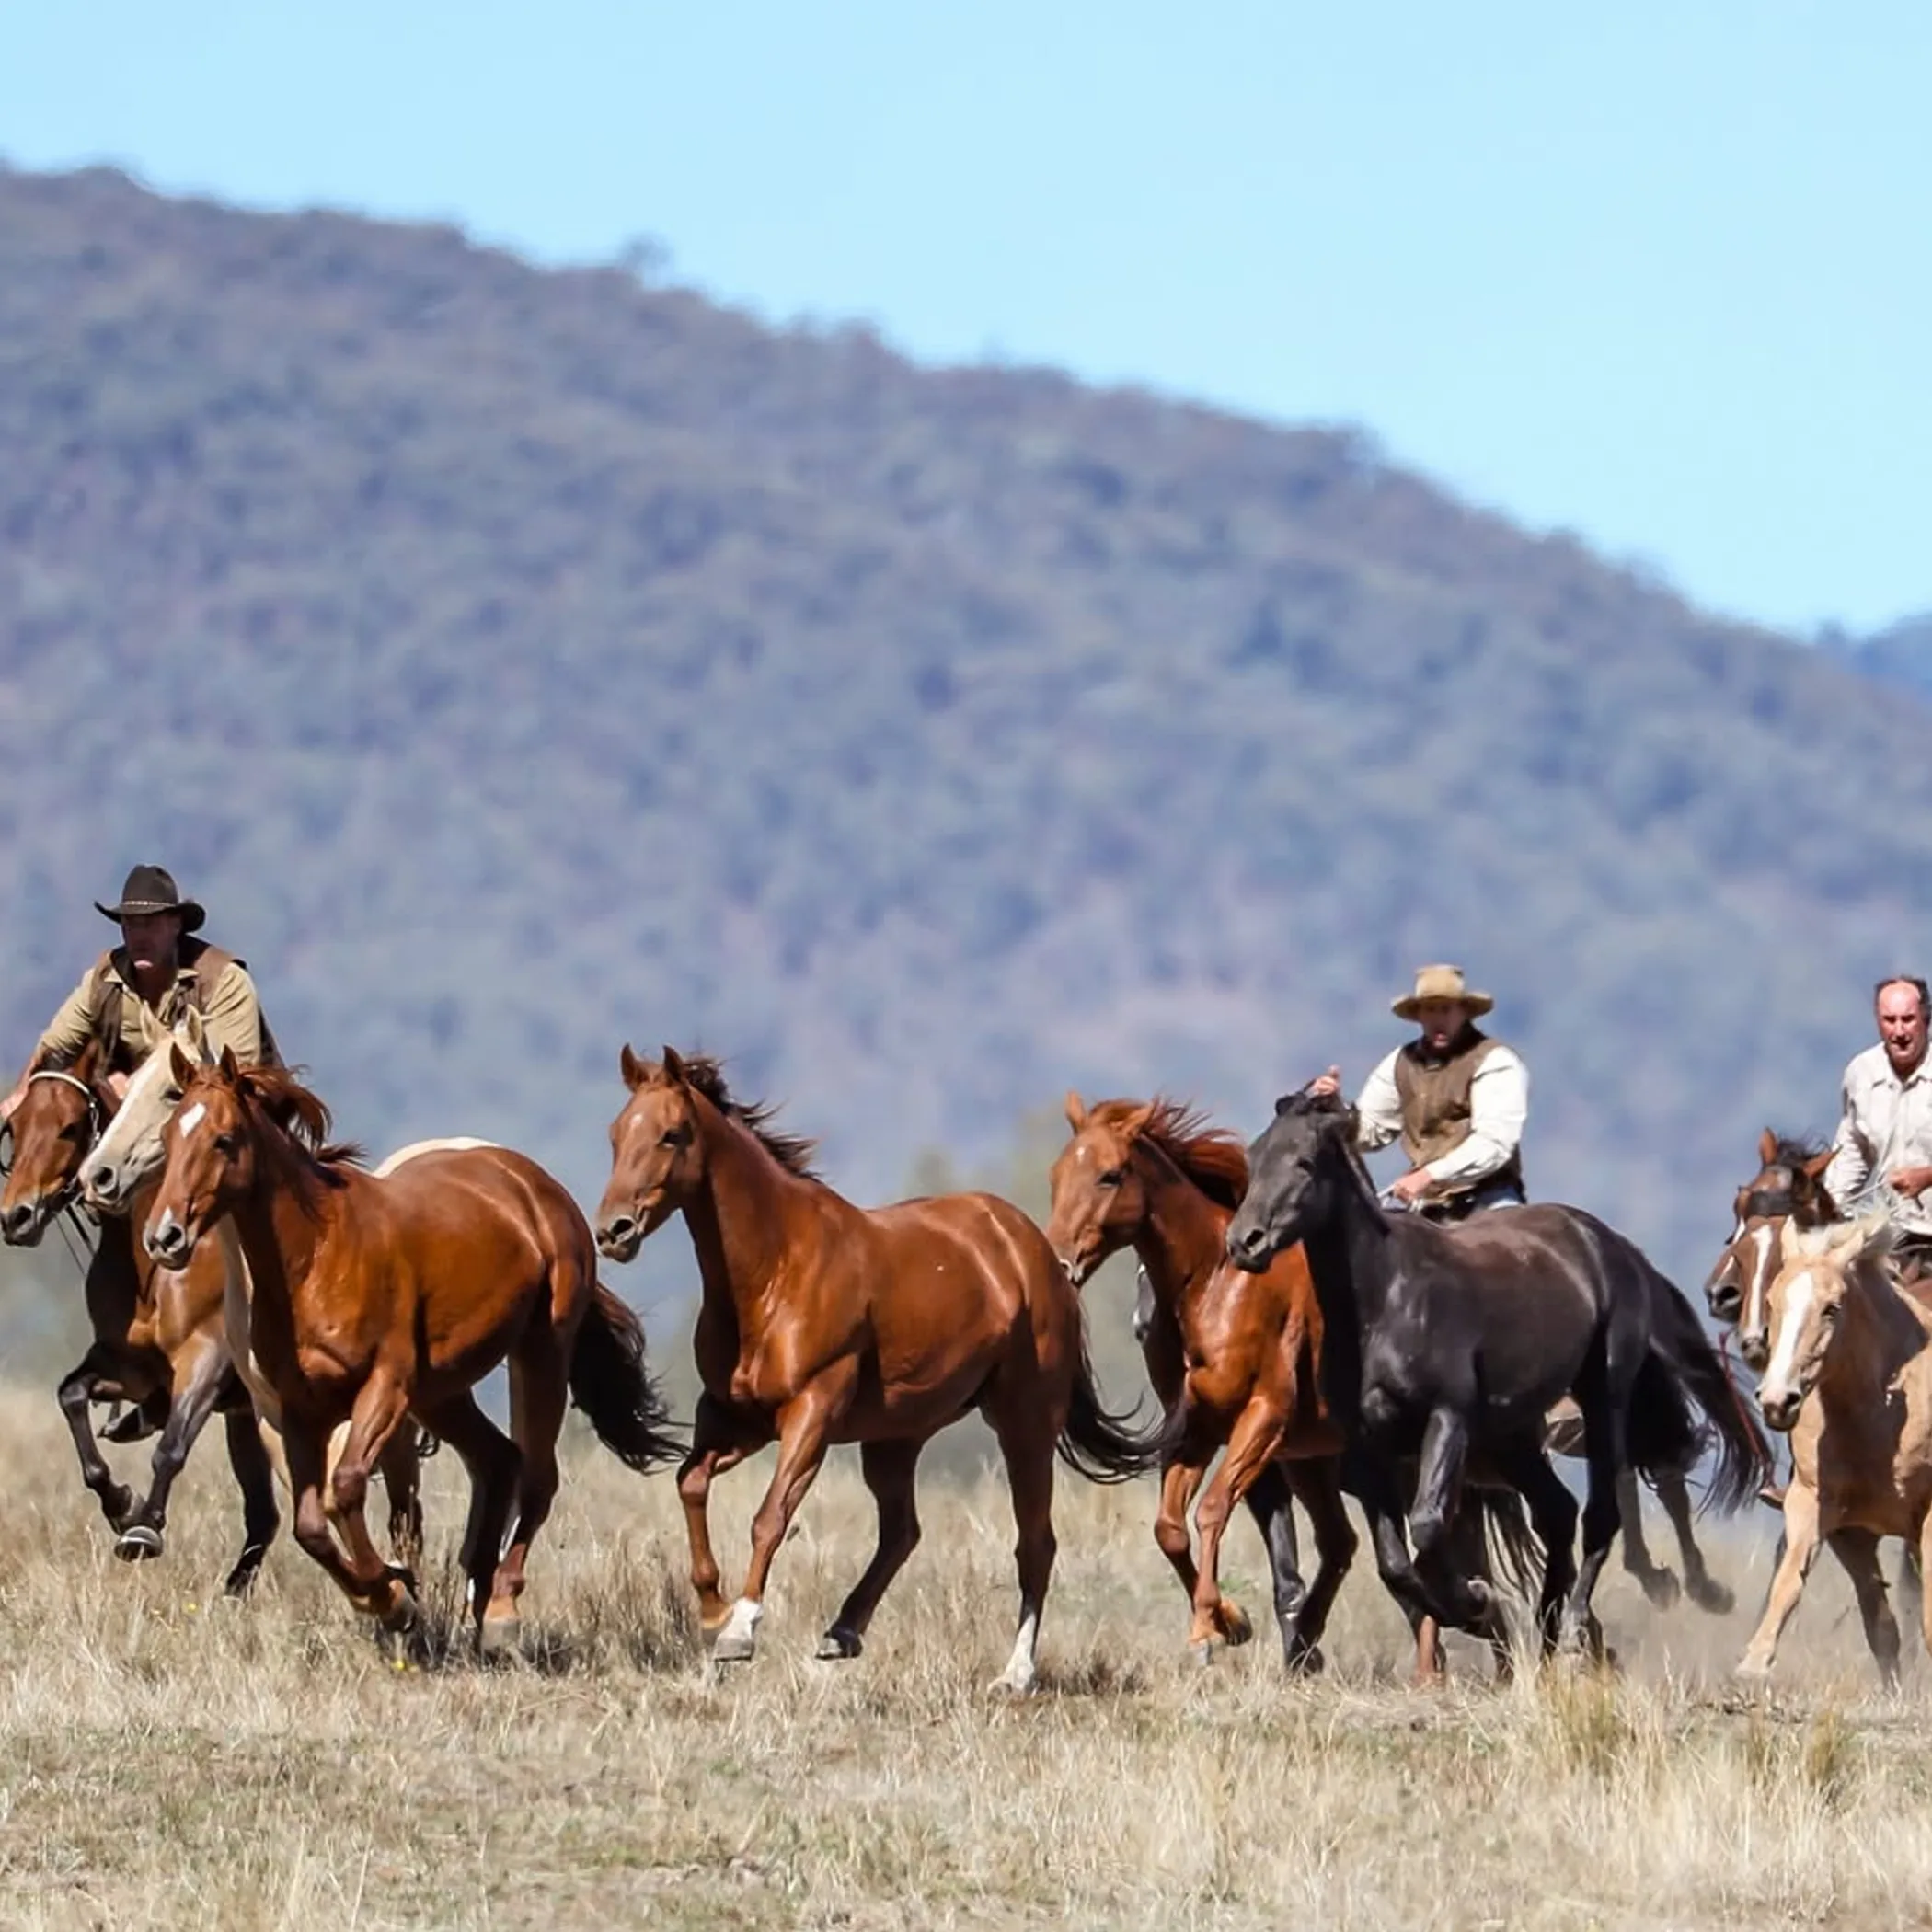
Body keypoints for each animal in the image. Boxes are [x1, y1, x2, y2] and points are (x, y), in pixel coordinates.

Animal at [2, 1033, 283, 1593]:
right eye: (15, 1127)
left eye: (70, 1127)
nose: (15, 1216)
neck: (150, 1269)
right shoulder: (127, 1368)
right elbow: (70, 1397)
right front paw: (119, 1503)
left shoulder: (205, 1362)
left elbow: (171, 1446)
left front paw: (143, 1529)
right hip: (247, 1420)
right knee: (264, 1517)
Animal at [140, 1046, 681, 1647]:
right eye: (168, 1136)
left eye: (223, 1139)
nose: (164, 1237)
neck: (316, 1257)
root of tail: (536, 1186)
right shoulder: (295, 1412)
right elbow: (311, 1525)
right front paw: (388, 1597)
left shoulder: (386, 1386)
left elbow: (346, 1487)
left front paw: (393, 1596)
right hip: (442, 1393)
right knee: (498, 1459)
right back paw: (476, 1592)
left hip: (540, 1352)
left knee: (538, 1477)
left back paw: (500, 1611)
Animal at [594, 1046, 1158, 1692]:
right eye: (616, 1133)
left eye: (671, 1134)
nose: (613, 1230)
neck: (774, 1271)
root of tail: (1041, 1255)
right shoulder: (734, 1418)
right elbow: (690, 1484)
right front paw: (713, 1612)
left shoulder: (811, 1413)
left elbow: (771, 1516)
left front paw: (739, 1630)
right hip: (895, 1437)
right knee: (902, 1531)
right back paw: (842, 1631)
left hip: (1025, 1424)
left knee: (1034, 1544)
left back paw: (1015, 1673)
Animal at [1225, 1088, 1770, 1657]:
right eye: (1254, 1157)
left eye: (1304, 1162)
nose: (1245, 1242)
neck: (1385, 1300)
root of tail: (1611, 1244)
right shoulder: (1367, 1445)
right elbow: (1395, 1561)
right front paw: (1470, 1607)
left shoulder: (1449, 1417)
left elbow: (1427, 1526)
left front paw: (1474, 1601)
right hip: (1512, 1434)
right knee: (1558, 1511)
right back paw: (1548, 1634)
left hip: (1602, 1398)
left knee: (1601, 1513)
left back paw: (1575, 1624)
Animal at [1739, 1212, 1932, 1685]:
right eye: (1773, 1302)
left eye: (1832, 1308)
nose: (1778, 1400)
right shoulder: (1824, 1510)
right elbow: (1794, 1584)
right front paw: (1753, 1663)